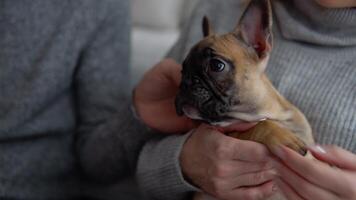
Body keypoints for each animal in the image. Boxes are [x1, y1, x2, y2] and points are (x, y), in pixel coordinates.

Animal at [175, 0, 314, 198]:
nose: (186, 82)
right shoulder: (230, 133)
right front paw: (281, 135)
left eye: (216, 65)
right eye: (182, 71)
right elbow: (257, 126)